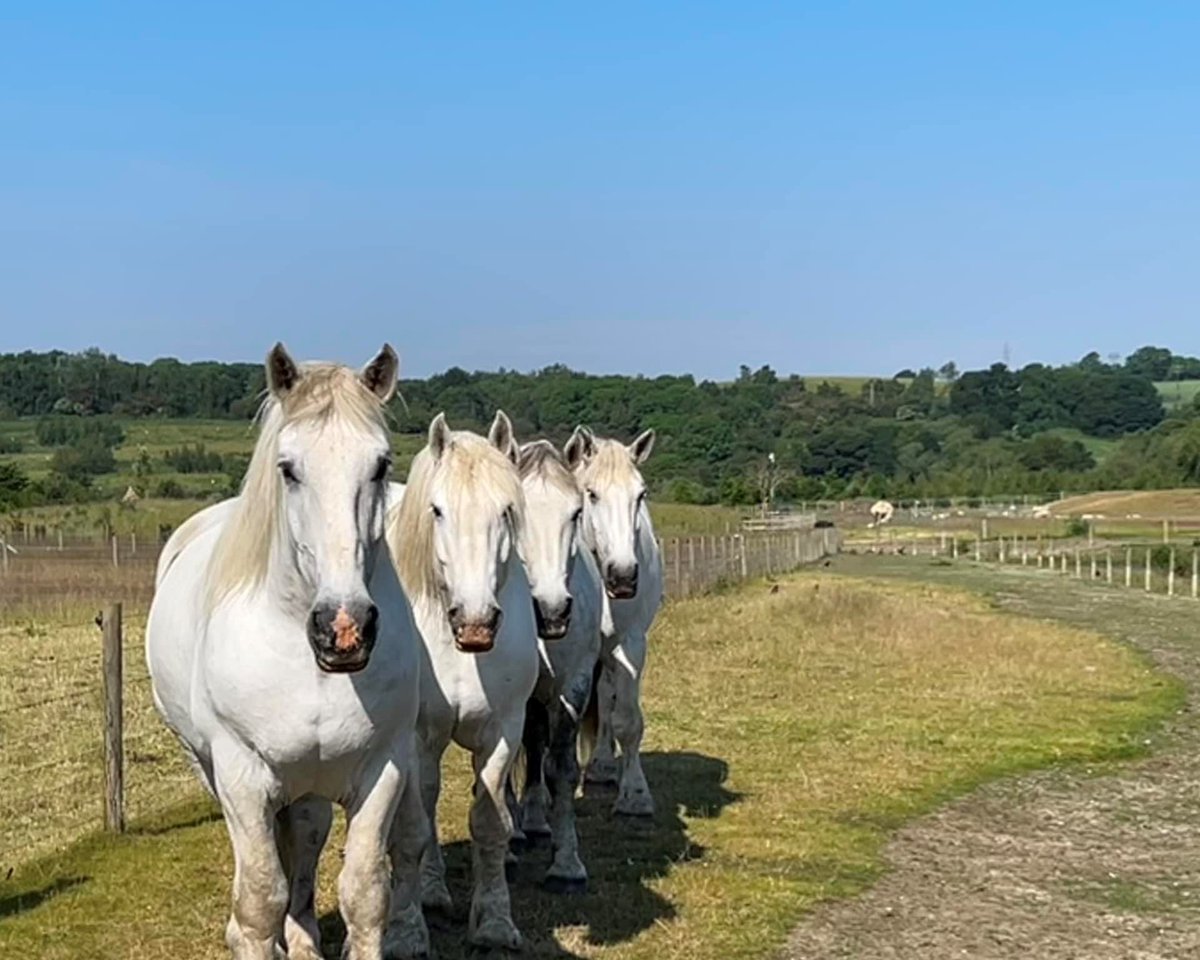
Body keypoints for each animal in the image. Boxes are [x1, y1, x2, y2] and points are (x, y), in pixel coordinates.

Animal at [146, 344, 427, 960]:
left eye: (381, 464)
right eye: (288, 468)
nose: (344, 628)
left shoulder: (384, 767)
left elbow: (364, 893)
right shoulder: (242, 774)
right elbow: (258, 898)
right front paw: (253, 935)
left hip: (309, 786)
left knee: (304, 839)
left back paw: (301, 937)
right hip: (211, 767)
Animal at [386, 411, 539, 951]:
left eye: (507, 511)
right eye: (437, 510)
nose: (475, 623)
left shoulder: (503, 731)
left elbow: (489, 824)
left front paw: (494, 923)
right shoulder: (414, 737)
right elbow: (412, 828)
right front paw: (406, 930)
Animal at [565, 426, 664, 817]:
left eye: (641, 494)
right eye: (591, 493)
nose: (623, 576)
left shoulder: (630, 644)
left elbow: (627, 721)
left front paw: (635, 795)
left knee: (607, 700)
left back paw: (604, 765)